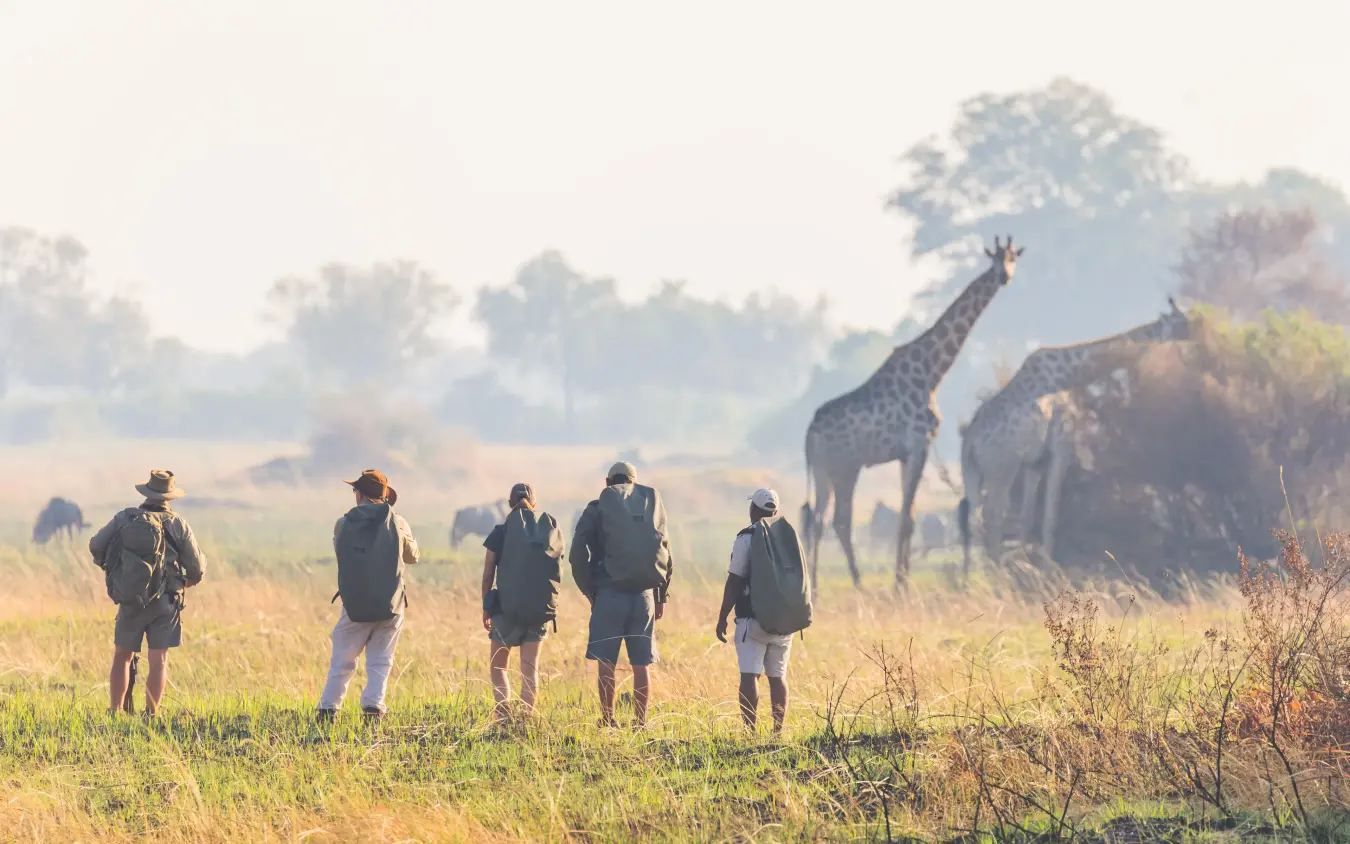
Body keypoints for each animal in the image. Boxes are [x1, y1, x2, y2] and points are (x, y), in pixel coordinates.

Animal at [804, 236, 1023, 590]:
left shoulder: (905, 453)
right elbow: (906, 518)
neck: (931, 371)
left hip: (824, 469)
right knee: (838, 521)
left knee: (818, 520)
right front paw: (901, 586)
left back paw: (819, 588)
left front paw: (901, 581)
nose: (1004, 276)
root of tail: (809, 434)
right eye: (994, 260)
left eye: (1013, 258)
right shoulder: (920, 443)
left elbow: (907, 515)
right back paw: (857, 585)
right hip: (845, 467)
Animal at [956, 299, 1192, 575]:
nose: (1197, 333)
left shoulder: (1035, 462)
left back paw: (971, 578)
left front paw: (1027, 566)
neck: (1068, 374)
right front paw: (1047, 569)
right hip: (1002, 468)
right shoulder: (1061, 448)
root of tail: (969, 441)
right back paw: (995, 574)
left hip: (973, 472)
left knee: (972, 518)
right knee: (992, 516)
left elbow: (1028, 516)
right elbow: (1051, 514)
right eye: (1181, 323)